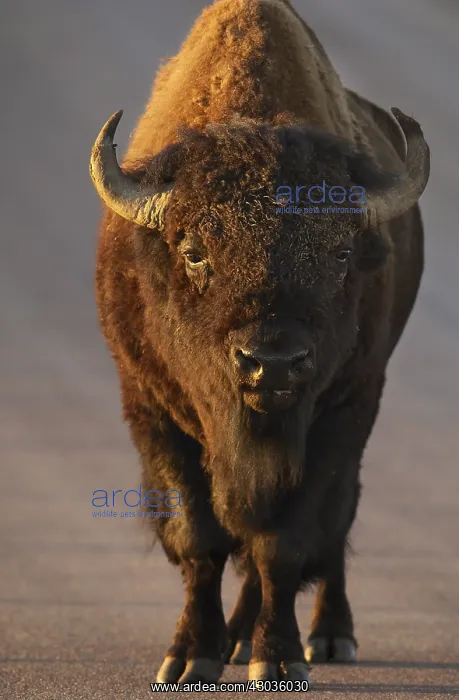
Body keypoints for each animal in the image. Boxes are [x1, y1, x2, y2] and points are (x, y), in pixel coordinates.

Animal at [89, 0, 430, 685]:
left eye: (340, 253)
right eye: (194, 251)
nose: (271, 363)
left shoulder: (338, 414)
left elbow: (286, 542)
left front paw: (275, 656)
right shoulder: (150, 407)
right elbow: (199, 537)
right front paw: (190, 656)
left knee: (333, 524)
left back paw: (327, 637)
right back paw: (235, 641)